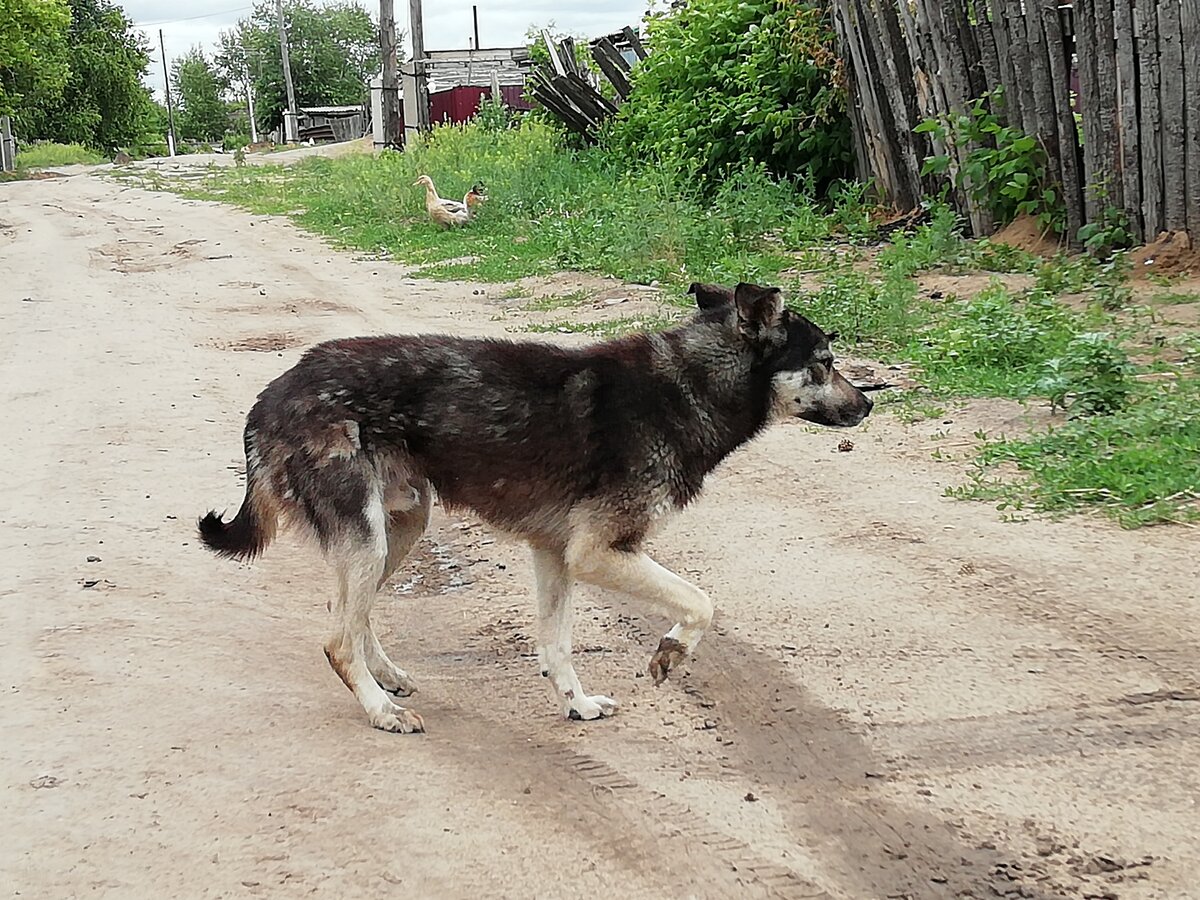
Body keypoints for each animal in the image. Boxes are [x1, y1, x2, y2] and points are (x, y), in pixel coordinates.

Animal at [199, 282, 873, 734]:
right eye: (825, 363)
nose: (867, 404)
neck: (687, 387)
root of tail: (271, 394)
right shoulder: (598, 553)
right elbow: (701, 602)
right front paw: (670, 653)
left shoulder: (556, 555)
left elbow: (556, 645)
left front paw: (578, 705)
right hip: (369, 538)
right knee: (337, 638)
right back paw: (383, 710)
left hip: (401, 527)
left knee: (346, 613)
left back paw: (387, 678)